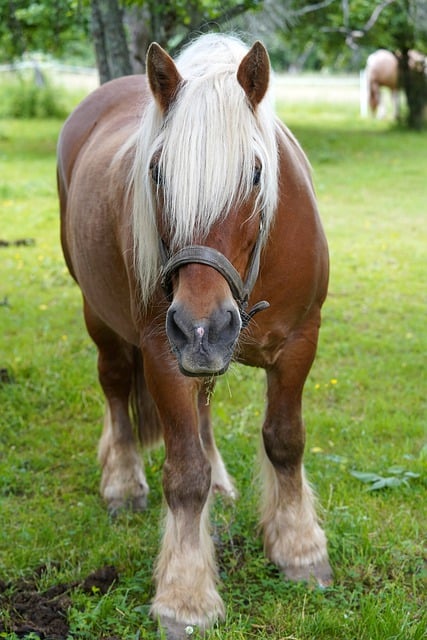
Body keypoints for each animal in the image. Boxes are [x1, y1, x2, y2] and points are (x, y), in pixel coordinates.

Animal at [57, 34, 331, 639]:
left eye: (255, 173)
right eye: (157, 173)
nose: (202, 326)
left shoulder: (299, 345)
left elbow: (285, 441)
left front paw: (299, 548)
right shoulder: (165, 355)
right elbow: (183, 475)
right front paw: (185, 597)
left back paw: (222, 484)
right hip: (103, 318)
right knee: (115, 387)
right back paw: (122, 479)